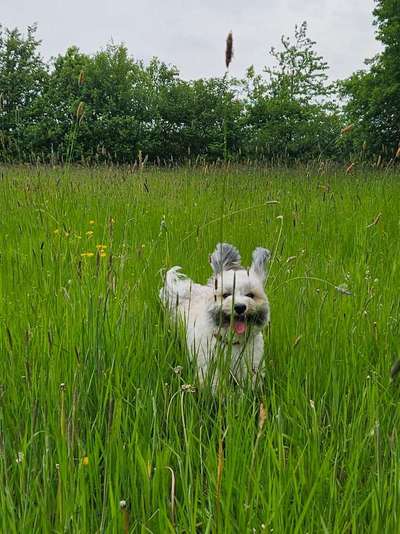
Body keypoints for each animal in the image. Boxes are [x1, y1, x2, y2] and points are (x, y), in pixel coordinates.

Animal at [160, 244, 272, 390]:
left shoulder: (251, 364)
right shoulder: (209, 365)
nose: (240, 307)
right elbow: (215, 385)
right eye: (226, 295)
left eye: (250, 295)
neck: (232, 343)